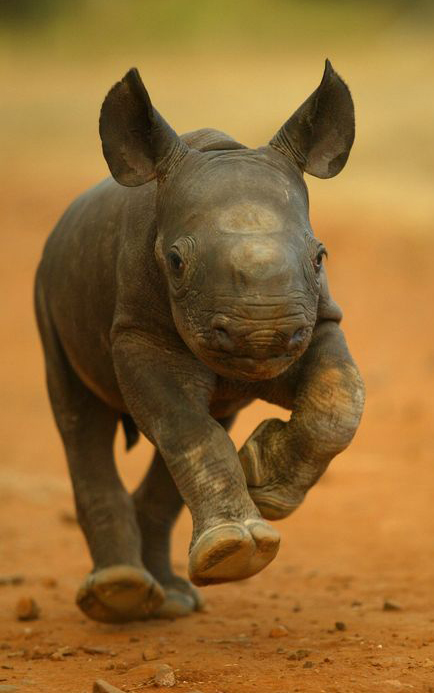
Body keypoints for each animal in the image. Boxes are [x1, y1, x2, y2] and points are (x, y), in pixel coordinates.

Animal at [35, 61, 365, 623]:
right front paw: (234, 551)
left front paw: (265, 484)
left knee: (211, 418)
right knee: (80, 419)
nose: (263, 334)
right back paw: (120, 596)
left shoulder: (319, 320)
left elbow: (338, 398)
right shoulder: (139, 332)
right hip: (47, 289)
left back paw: (170, 601)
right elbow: (185, 426)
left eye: (320, 257)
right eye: (175, 262)